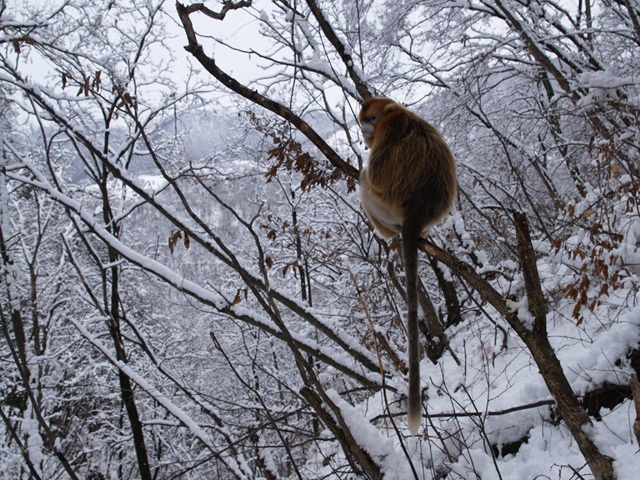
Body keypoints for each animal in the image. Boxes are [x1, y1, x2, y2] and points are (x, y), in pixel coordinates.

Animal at [358, 97, 458, 436]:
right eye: (361, 120)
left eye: (370, 120)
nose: (363, 131)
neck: (394, 112)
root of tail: (417, 213)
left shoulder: (389, 130)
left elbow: (373, 176)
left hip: (386, 207)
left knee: (366, 184)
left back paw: (388, 234)